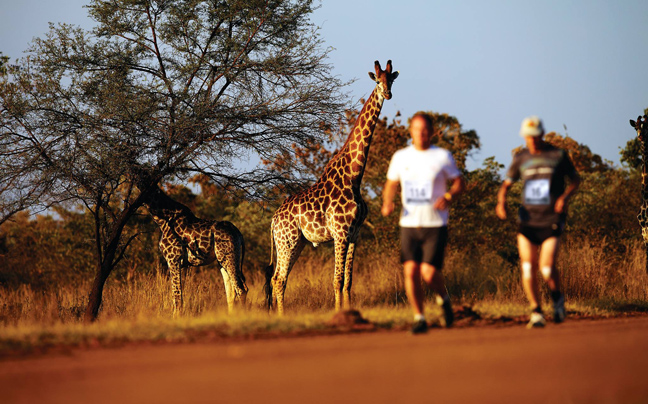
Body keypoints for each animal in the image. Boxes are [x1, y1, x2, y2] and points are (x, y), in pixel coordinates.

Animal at [264, 59, 398, 316]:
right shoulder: (340, 232)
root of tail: (273, 221)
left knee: (277, 278)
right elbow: (337, 280)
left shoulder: (355, 234)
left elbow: (348, 281)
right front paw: (339, 313)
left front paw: (349, 310)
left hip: (296, 242)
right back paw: (281, 316)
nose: (387, 94)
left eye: (392, 80)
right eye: (377, 81)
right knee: (279, 279)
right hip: (287, 241)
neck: (354, 177)